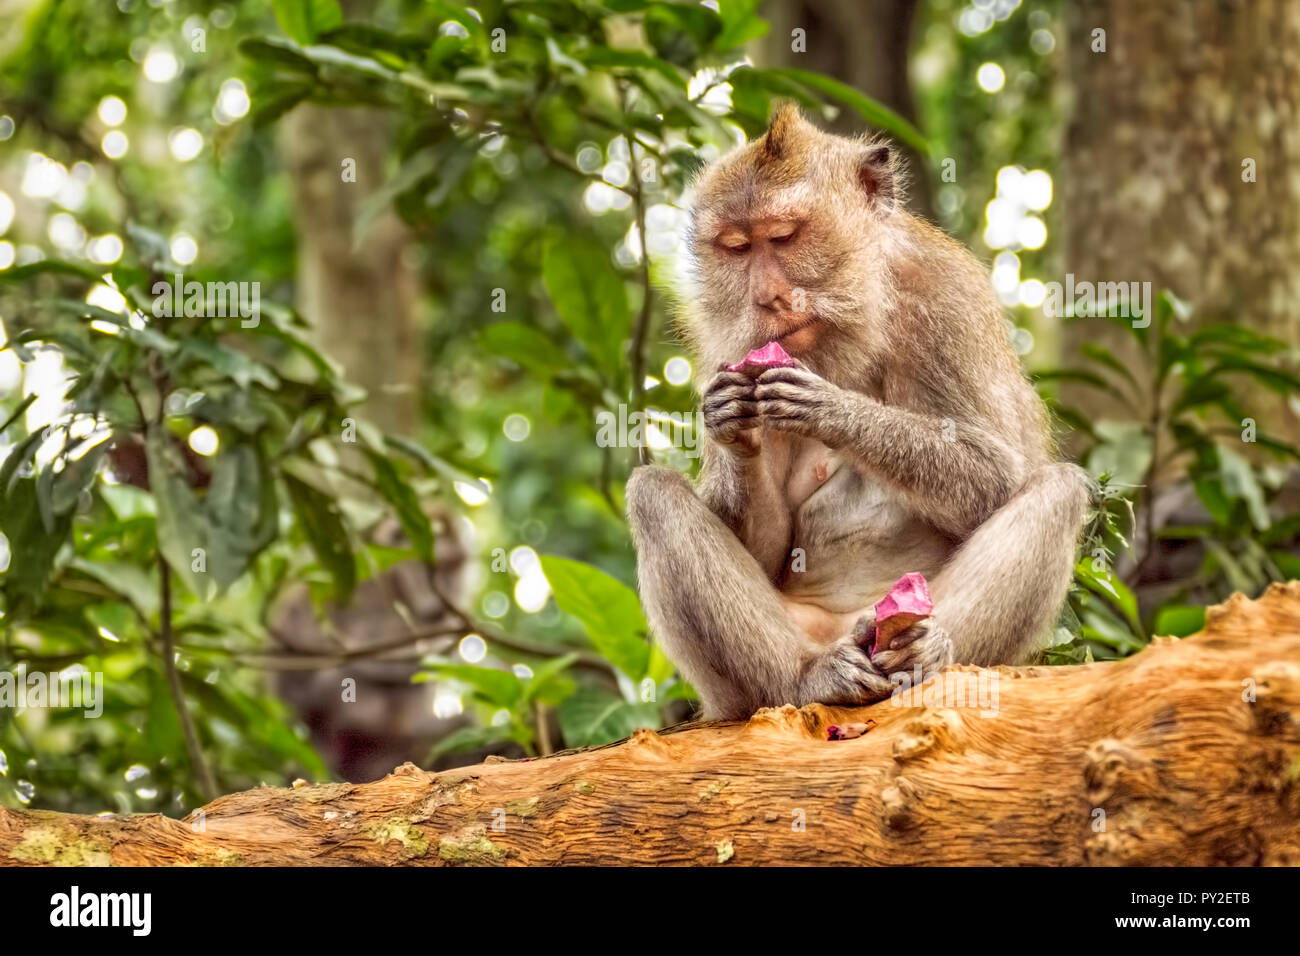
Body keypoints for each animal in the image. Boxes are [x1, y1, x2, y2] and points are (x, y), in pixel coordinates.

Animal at [626, 104, 1089, 721]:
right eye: (736, 248)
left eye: (785, 236)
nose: (769, 297)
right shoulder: (729, 343)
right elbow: (767, 549)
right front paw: (731, 426)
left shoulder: (946, 296)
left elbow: (994, 475)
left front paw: (830, 408)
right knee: (652, 494)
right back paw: (804, 681)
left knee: (1058, 491)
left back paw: (930, 654)